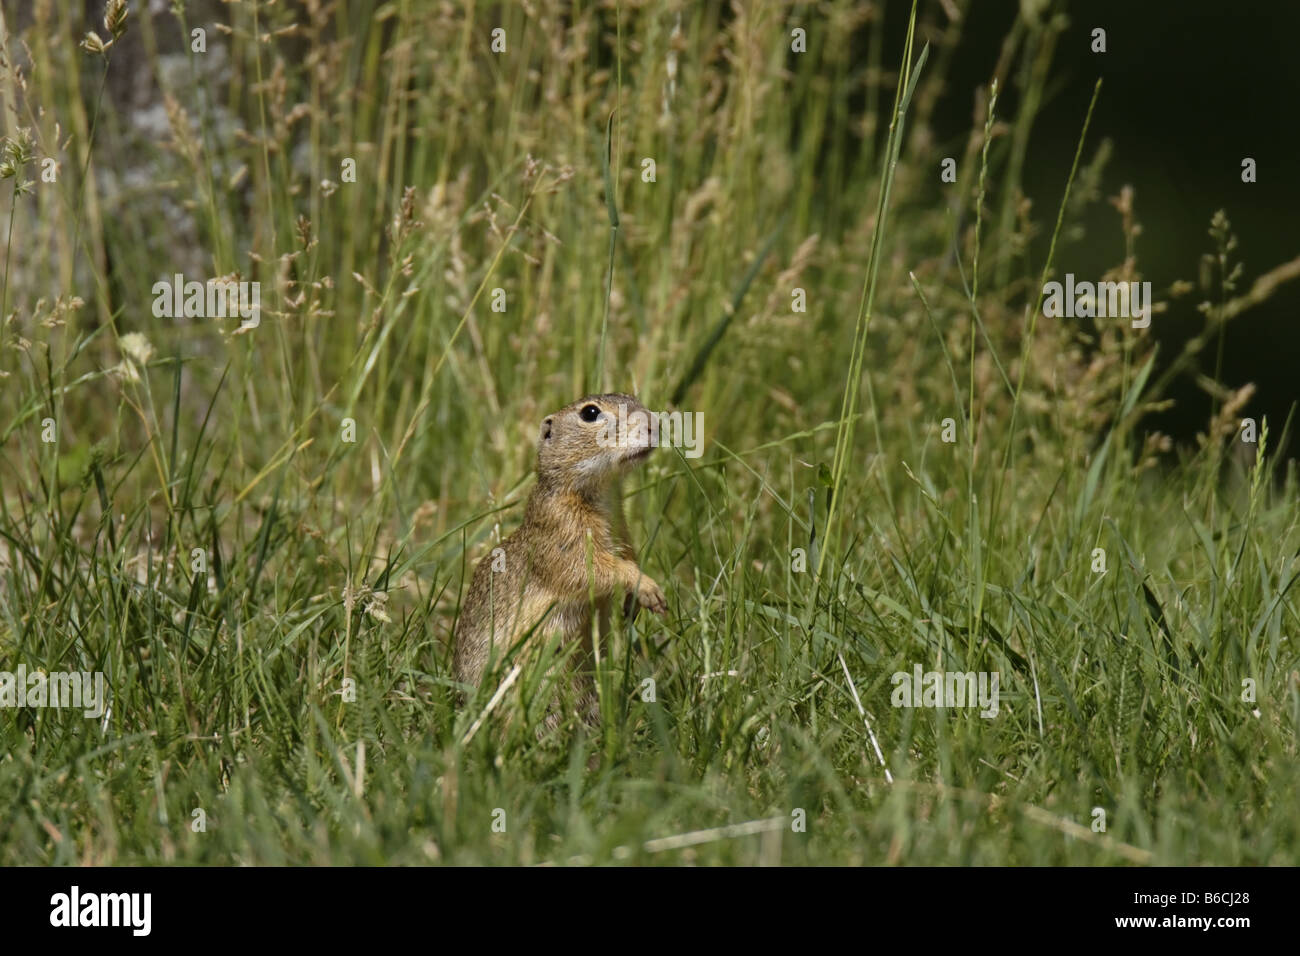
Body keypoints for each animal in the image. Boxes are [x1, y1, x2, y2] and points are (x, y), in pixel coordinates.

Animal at [452, 395, 665, 717]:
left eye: (634, 398)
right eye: (590, 413)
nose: (656, 424)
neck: (602, 493)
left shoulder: (622, 530)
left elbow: (628, 555)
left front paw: (635, 603)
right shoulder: (563, 534)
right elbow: (590, 570)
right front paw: (646, 586)